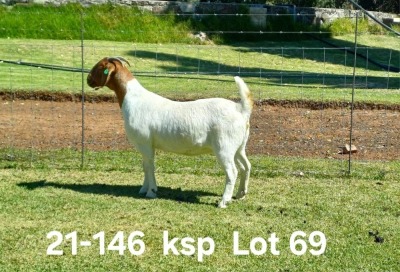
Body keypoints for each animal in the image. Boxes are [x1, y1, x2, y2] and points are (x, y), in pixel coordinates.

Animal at [86, 56, 253, 207]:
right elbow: (145, 165)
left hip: (224, 147)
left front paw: (151, 192)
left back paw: (224, 201)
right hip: (238, 147)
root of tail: (241, 109)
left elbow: (149, 165)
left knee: (232, 172)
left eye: (100, 66)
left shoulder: (144, 142)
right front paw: (143, 189)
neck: (133, 98)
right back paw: (241, 194)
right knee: (246, 166)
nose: (88, 79)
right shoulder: (147, 145)